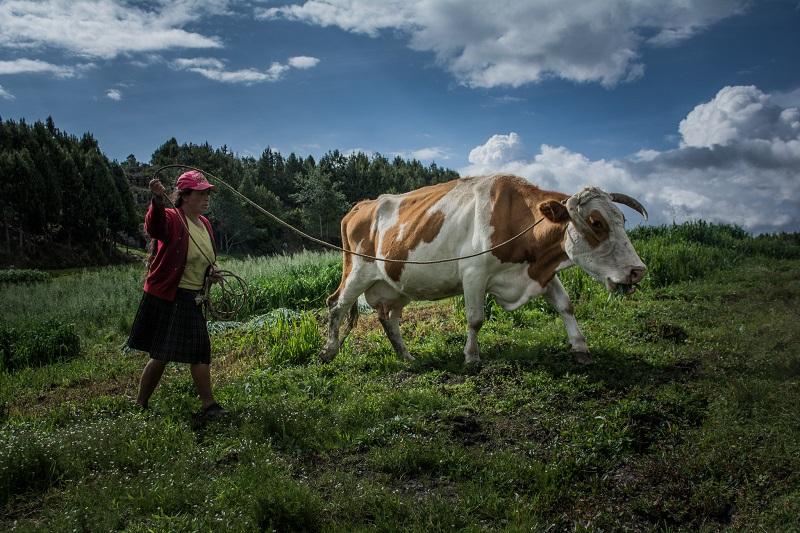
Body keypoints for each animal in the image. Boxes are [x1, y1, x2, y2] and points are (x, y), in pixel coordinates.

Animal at [322, 172, 648, 364]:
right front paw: (471, 357)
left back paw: (406, 356)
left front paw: (580, 347)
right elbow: (475, 318)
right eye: (596, 223)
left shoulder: (540, 271)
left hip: (395, 282)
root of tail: (361, 206)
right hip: (357, 270)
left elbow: (565, 305)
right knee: (336, 304)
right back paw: (328, 352)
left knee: (388, 316)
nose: (638, 270)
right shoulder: (474, 274)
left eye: (621, 219)